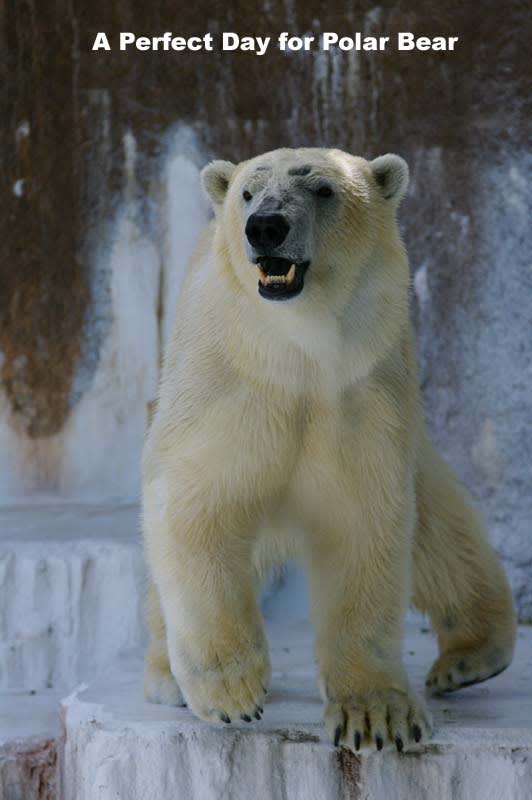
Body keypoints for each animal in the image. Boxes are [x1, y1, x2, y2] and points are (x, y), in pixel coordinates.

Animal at [141, 148, 516, 752]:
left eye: (323, 190)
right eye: (248, 192)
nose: (265, 227)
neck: (299, 353)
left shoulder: (361, 395)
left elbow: (362, 527)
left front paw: (376, 714)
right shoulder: (227, 385)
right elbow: (196, 503)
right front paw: (234, 694)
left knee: (440, 525)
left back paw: (468, 659)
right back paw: (165, 677)